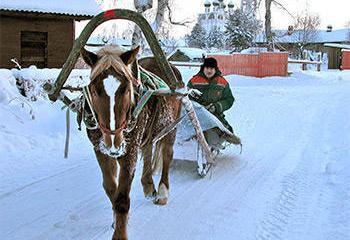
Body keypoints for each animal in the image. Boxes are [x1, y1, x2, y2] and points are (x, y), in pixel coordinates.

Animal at [80, 45, 182, 240]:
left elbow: (121, 199)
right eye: (94, 91)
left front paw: (120, 233)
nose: (114, 142)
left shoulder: (130, 151)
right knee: (149, 149)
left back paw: (162, 191)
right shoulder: (100, 149)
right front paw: (118, 220)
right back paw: (148, 185)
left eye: (127, 89)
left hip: (171, 127)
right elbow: (110, 188)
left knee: (167, 155)